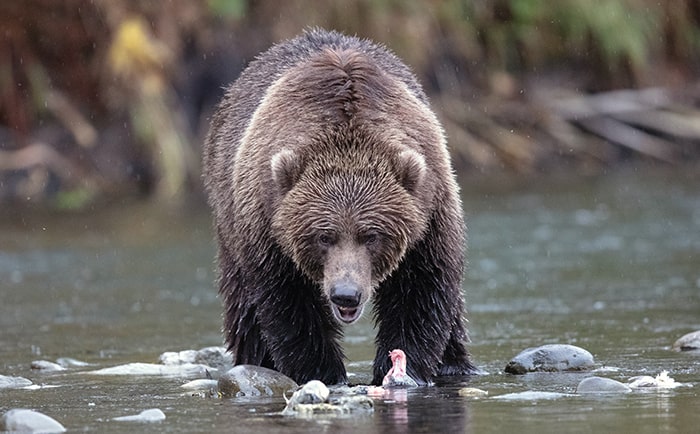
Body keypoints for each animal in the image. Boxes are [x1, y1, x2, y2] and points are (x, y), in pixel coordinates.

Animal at [203, 28, 476, 386]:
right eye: (323, 236)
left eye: (372, 235)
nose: (346, 294)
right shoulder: (267, 224)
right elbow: (289, 305)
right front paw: (323, 371)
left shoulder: (429, 215)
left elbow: (421, 291)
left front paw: (405, 369)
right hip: (229, 216)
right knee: (244, 305)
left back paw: (455, 363)